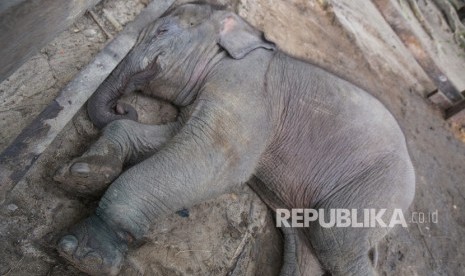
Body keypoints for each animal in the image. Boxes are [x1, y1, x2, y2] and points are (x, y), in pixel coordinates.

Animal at [53, 2, 414, 276]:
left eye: (162, 32)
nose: (125, 107)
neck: (243, 36)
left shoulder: (248, 88)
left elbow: (215, 157)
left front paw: (83, 255)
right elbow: (171, 136)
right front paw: (79, 176)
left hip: (376, 188)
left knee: (335, 243)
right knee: (306, 248)